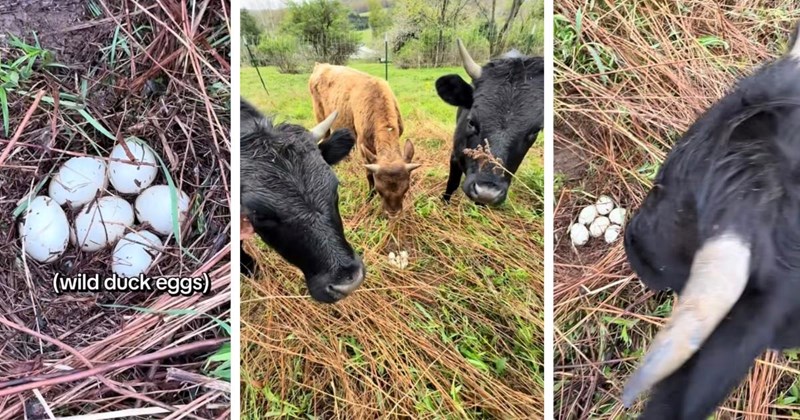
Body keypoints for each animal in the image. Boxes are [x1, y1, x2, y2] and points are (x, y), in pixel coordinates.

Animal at [308, 63, 421, 218]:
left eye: (406, 188)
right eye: (380, 190)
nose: (393, 213)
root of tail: (320, 65)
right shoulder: (364, 145)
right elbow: (368, 174)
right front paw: (369, 198)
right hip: (320, 114)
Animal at [435, 39, 544, 205]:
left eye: (535, 130)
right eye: (471, 122)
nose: (487, 193)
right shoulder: (454, 155)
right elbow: (452, 183)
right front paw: (445, 203)